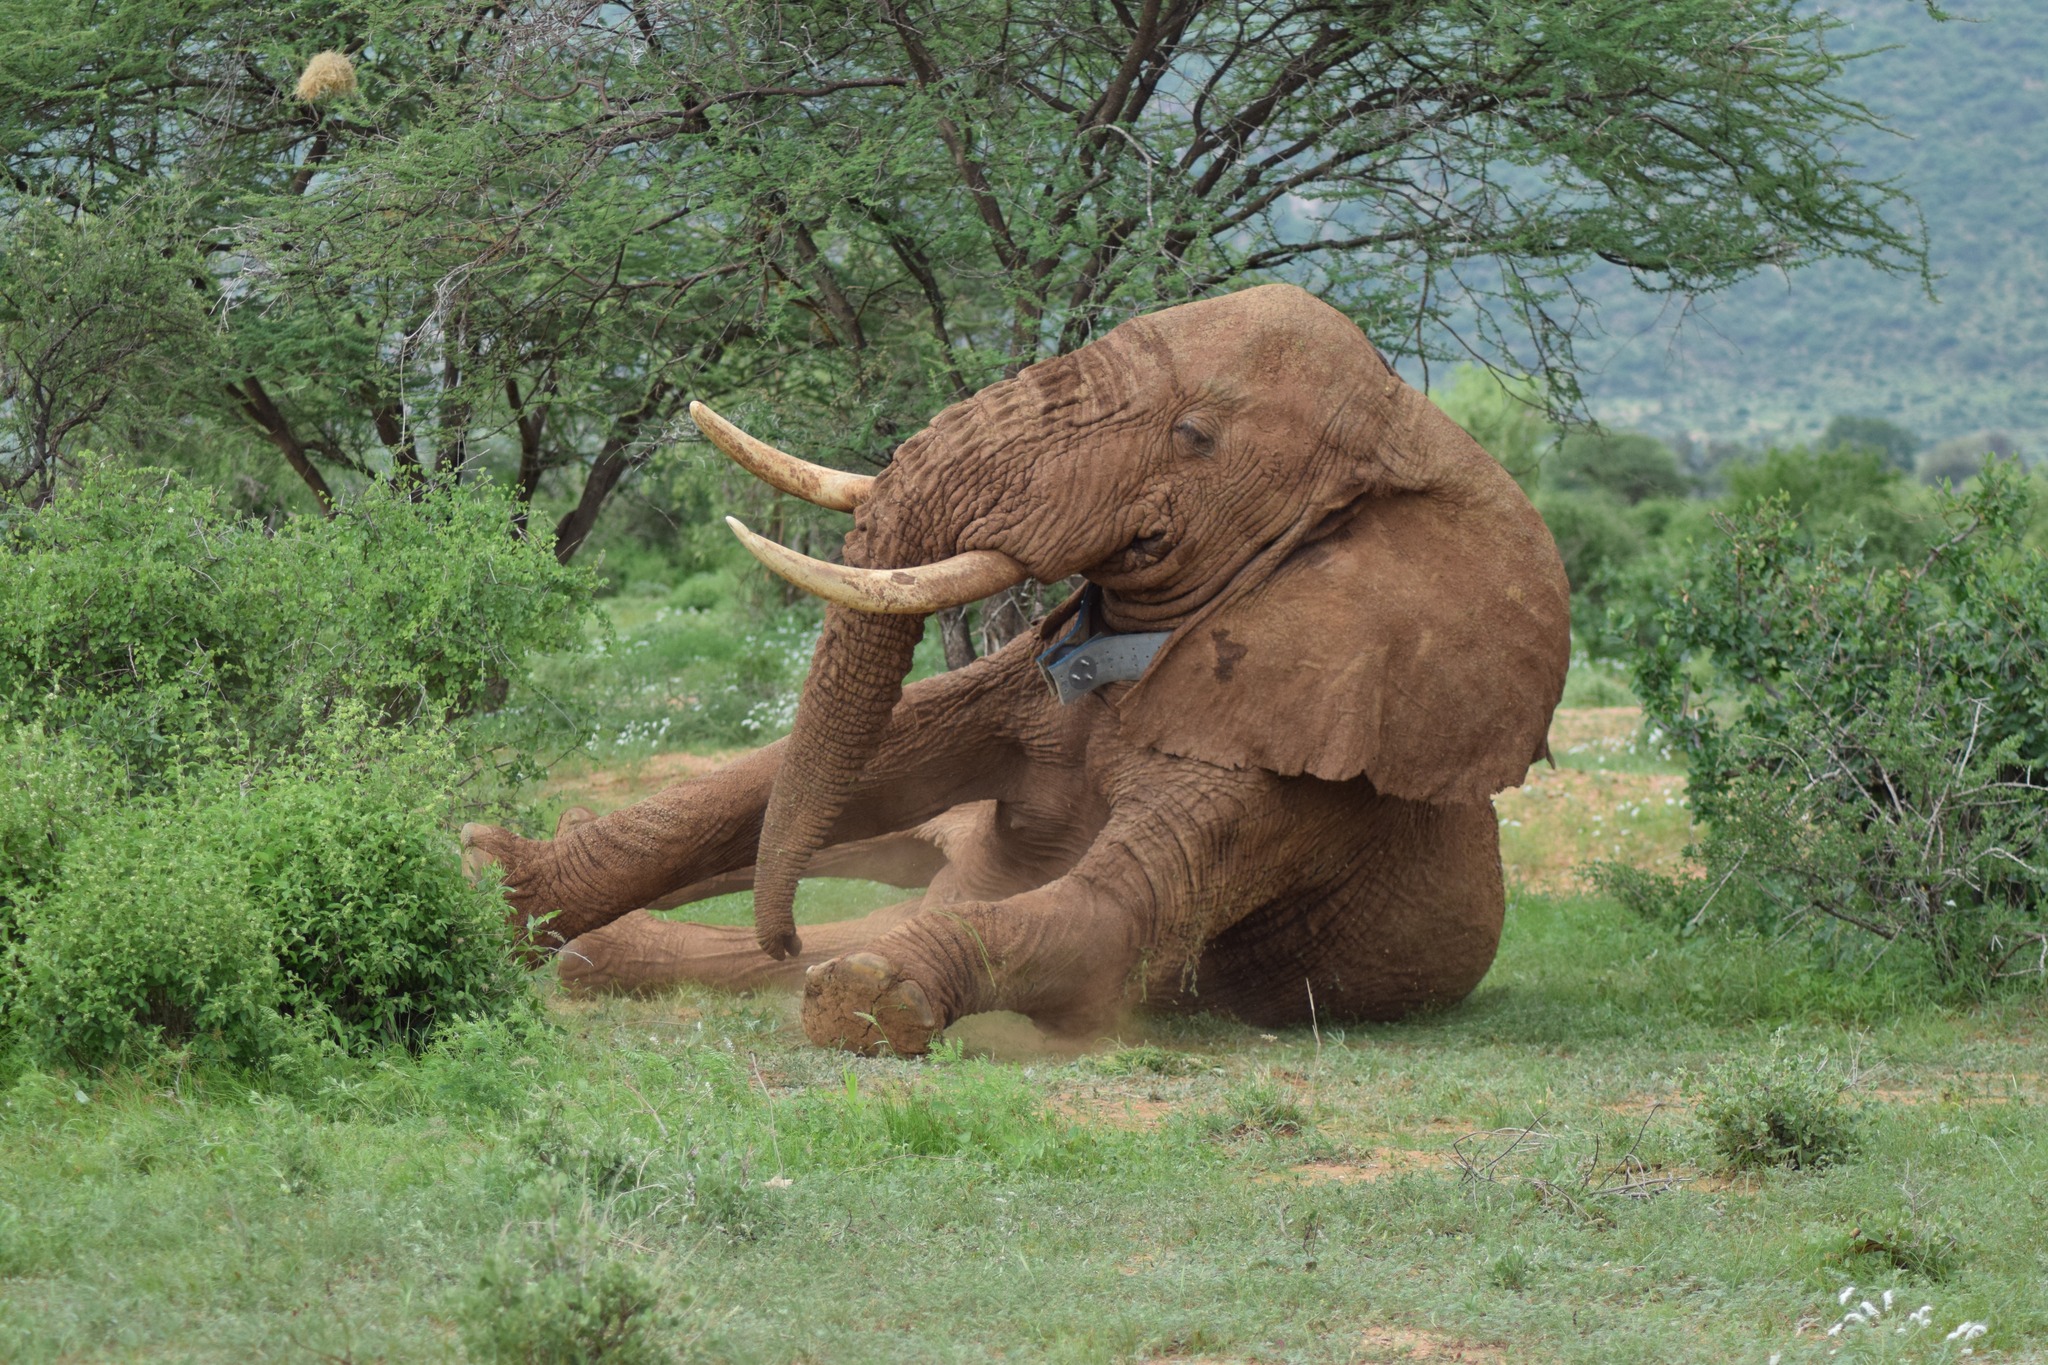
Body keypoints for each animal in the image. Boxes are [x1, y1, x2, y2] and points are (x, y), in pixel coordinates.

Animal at [461, 284, 1571, 1055]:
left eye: (1194, 435)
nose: (782, 934)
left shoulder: (1294, 757)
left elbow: (1116, 917)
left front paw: (865, 996)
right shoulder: (1028, 679)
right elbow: (821, 764)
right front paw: (489, 880)